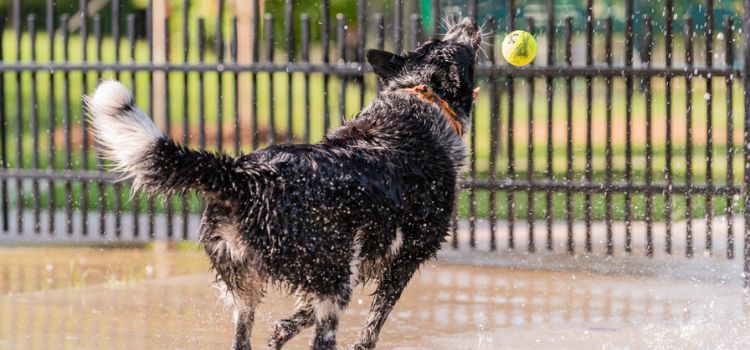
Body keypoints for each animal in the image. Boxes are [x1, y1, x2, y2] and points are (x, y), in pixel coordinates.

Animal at [86, 17, 482, 350]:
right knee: (323, 339)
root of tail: (241, 175)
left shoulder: (355, 263)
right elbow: (374, 323)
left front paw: (280, 332)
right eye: (451, 43)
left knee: (243, 336)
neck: (420, 98)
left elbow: (297, 315)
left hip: (249, 283)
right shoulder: (407, 255)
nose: (468, 22)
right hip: (333, 276)